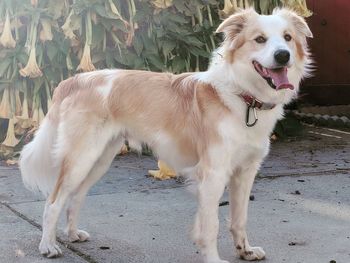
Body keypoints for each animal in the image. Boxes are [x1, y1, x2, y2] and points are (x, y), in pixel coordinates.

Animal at [19, 8, 312, 263]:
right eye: (260, 39)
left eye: (287, 37)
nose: (283, 55)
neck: (243, 96)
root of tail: (75, 80)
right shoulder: (213, 174)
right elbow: (211, 224)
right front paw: (213, 259)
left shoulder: (245, 172)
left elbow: (239, 219)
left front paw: (246, 251)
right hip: (81, 158)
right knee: (53, 201)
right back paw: (48, 245)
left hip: (99, 159)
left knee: (75, 197)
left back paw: (72, 234)